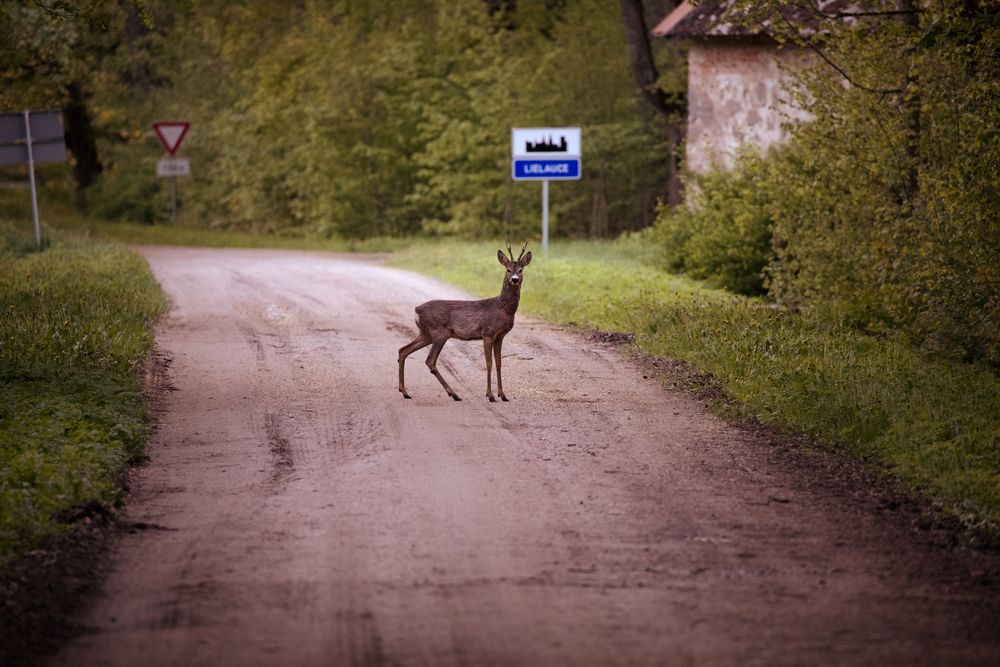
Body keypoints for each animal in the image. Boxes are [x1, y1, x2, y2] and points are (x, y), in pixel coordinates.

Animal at [398, 242, 532, 402]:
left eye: (521, 270)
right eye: (508, 270)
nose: (515, 279)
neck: (503, 309)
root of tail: (416, 309)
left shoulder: (500, 336)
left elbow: (499, 363)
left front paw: (503, 395)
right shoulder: (488, 333)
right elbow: (489, 363)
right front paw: (490, 395)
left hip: (426, 334)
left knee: (403, 350)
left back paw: (405, 392)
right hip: (439, 332)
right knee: (430, 360)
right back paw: (453, 394)